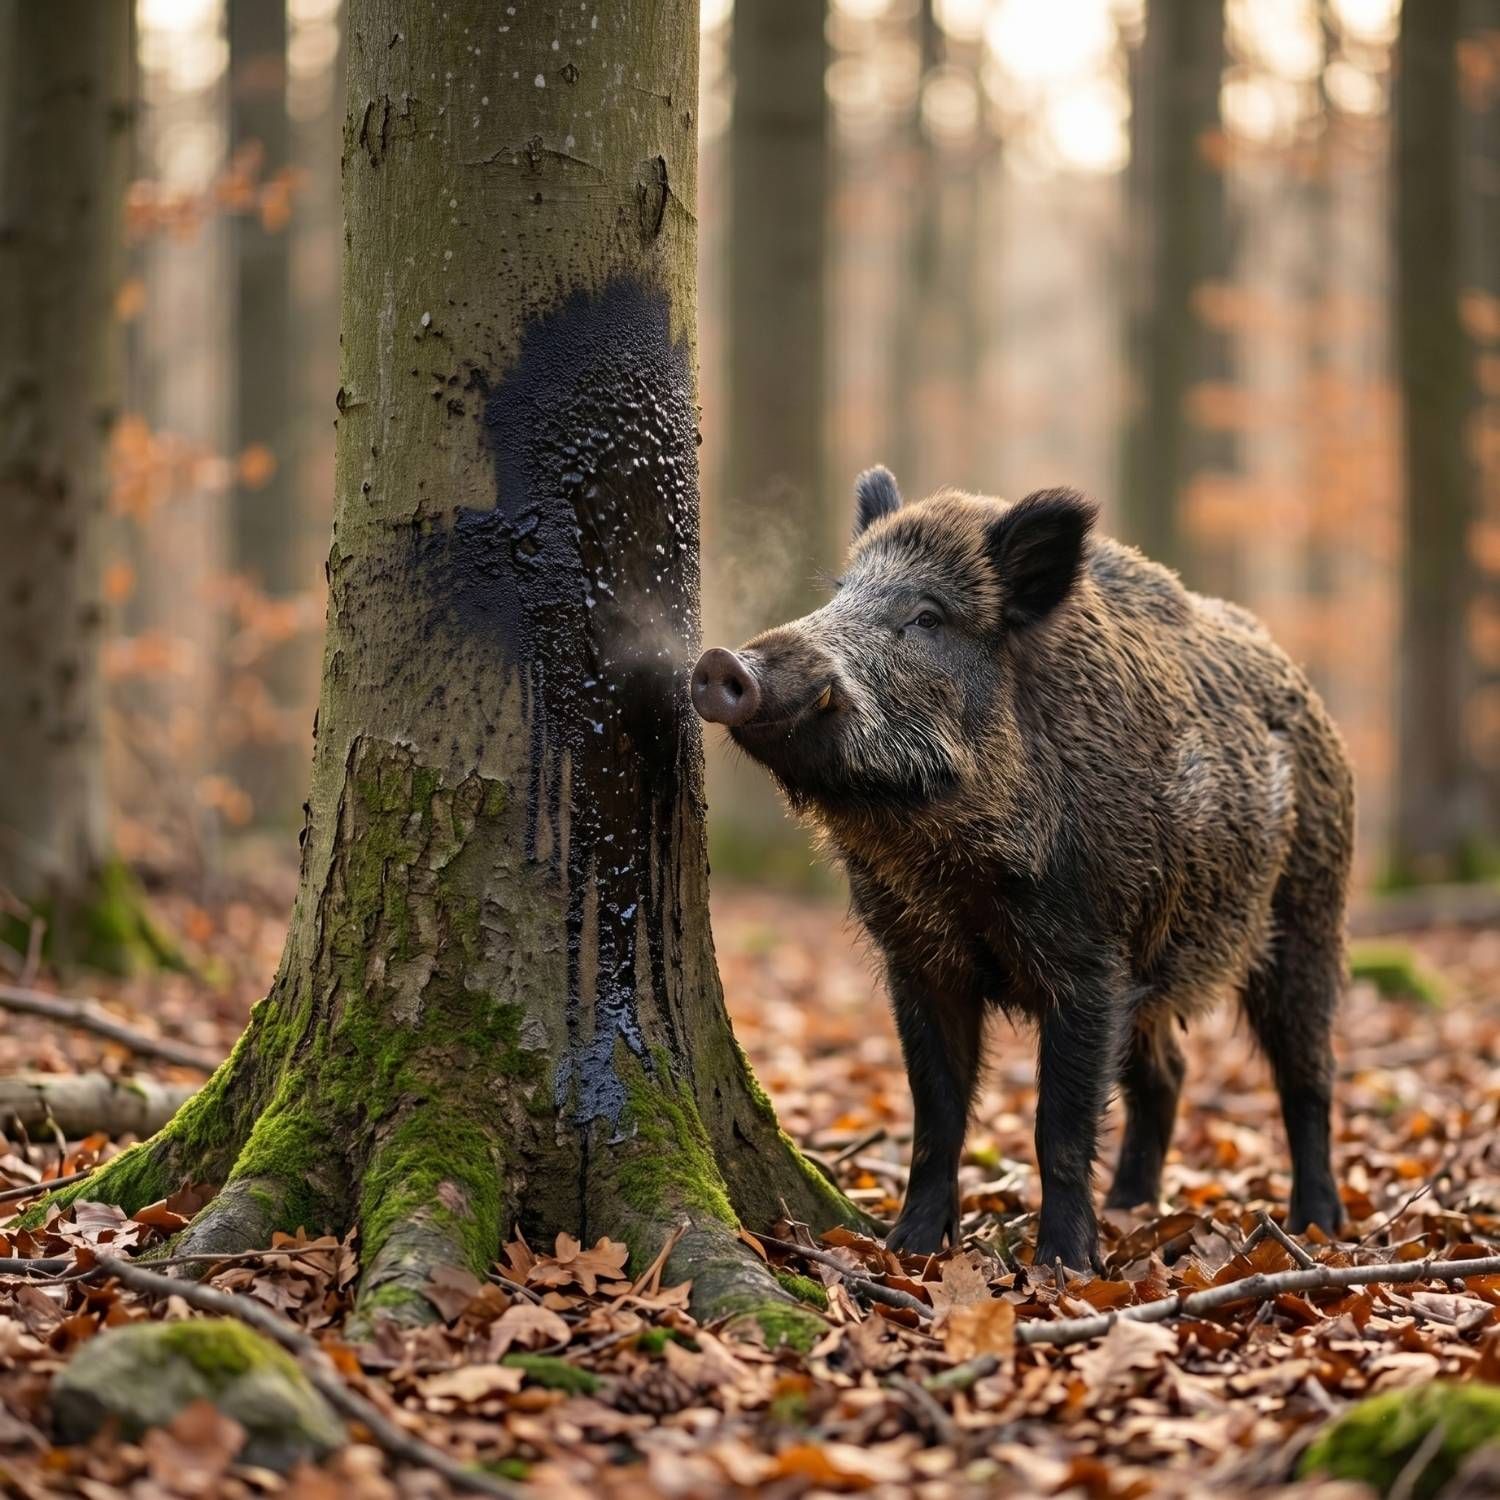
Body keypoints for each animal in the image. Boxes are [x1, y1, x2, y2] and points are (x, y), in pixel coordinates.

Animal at [691, 468, 1352, 1270]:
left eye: (928, 616)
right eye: (842, 589)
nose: (723, 663)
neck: (951, 864)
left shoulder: (1090, 959)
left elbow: (1058, 1127)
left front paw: (1063, 1268)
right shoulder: (918, 960)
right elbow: (936, 1116)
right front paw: (909, 1251)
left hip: (1309, 911)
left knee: (1307, 1073)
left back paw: (1319, 1225)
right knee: (1167, 1074)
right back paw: (1132, 1209)